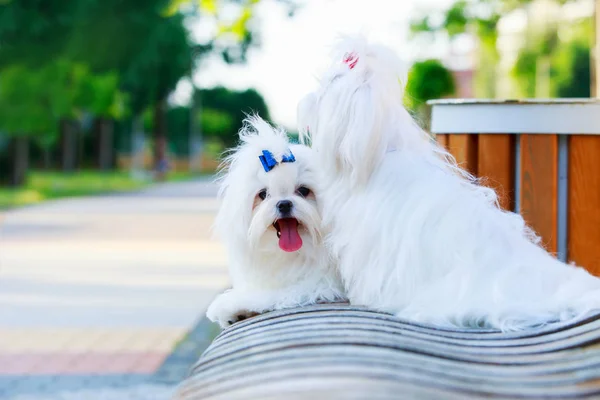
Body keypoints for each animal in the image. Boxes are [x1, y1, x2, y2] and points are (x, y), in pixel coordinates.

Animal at [206, 115, 344, 328]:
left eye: (303, 191)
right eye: (263, 194)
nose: (284, 204)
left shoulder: (319, 283)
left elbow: (270, 294)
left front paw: (229, 305)